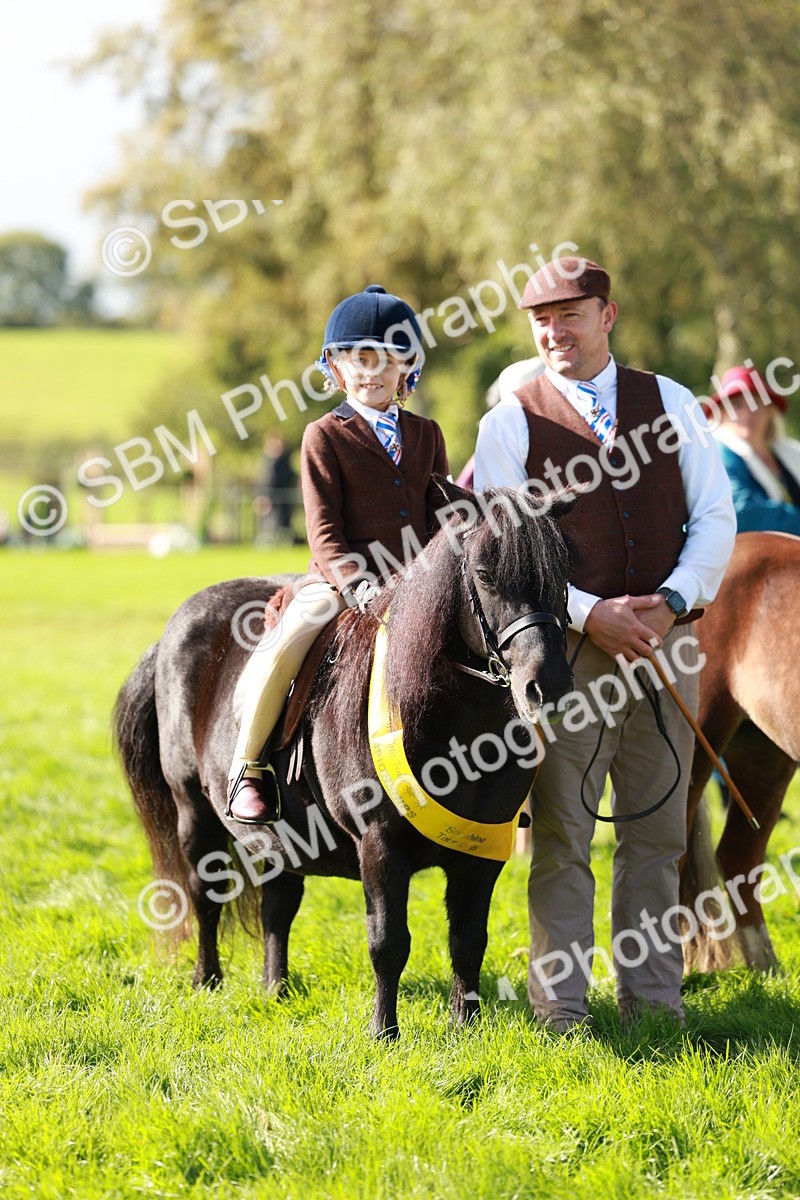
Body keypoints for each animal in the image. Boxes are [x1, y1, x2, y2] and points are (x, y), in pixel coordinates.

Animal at [114, 481, 577, 1038]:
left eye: (564, 572)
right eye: (485, 574)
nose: (547, 688)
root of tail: (173, 631)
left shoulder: (482, 853)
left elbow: (469, 939)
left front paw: (464, 1026)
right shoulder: (379, 845)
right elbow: (388, 942)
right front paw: (384, 1032)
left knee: (278, 905)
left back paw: (275, 989)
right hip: (192, 809)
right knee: (206, 894)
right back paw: (207, 980)